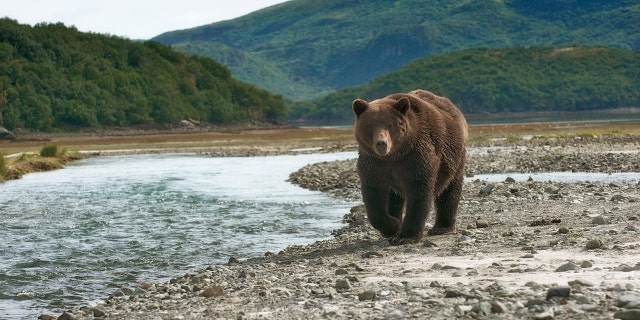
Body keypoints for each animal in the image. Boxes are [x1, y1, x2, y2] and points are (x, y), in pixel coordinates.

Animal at [352, 89, 468, 245]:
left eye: (390, 124)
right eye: (370, 125)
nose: (381, 143)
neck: (393, 156)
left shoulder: (415, 157)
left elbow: (419, 191)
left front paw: (406, 236)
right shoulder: (374, 163)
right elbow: (373, 196)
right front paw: (393, 227)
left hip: (454, 157)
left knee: (450, 188)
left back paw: (442, 227)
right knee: (395, 197)